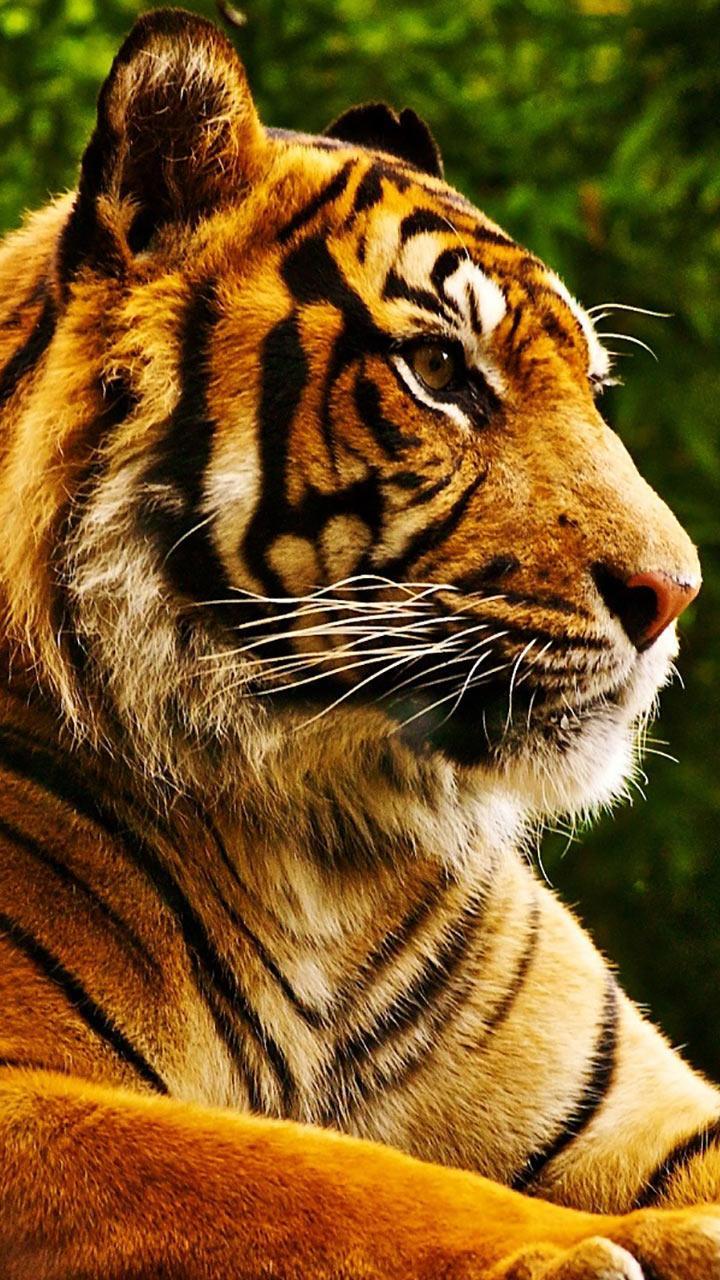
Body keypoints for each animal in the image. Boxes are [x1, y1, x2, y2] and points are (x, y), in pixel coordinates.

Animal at [0, 5, 718, 1277]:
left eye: (591, 387)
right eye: (437, 370)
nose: (673, 593)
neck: (324, 846)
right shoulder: (26, 1092)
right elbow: (310, 1175)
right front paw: (593, 1247)